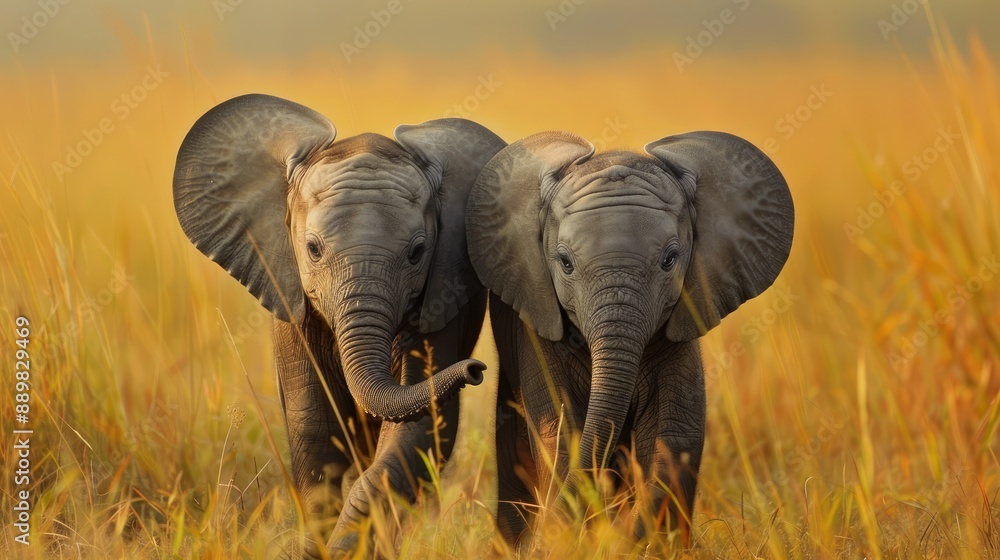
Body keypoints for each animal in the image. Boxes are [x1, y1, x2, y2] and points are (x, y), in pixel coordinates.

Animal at [172, 94, 506, 555]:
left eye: (418, 252)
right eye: (312, 249)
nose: (476, 369)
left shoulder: (442, 292)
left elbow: (418, 431)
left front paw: (347, 548)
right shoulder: (291, 300)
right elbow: (315, 429)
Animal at [466, 130, 794, 548]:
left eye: (670, 259)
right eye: (565, 263)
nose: (545, 542)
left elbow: (674, 434)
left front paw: (640, 544)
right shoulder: (537, 328)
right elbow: (560, 429)